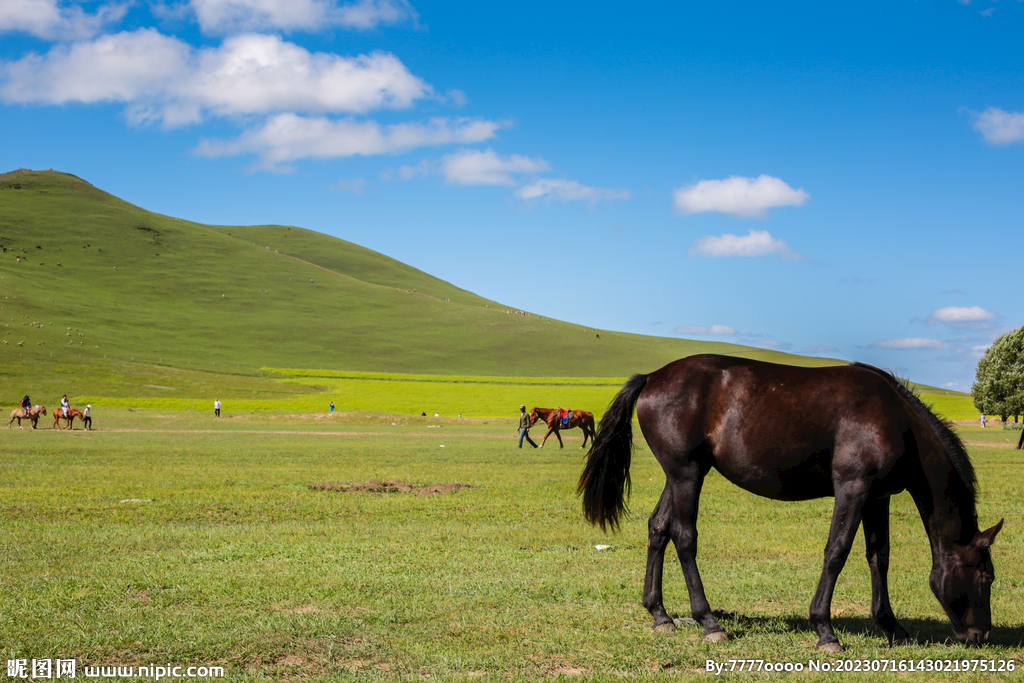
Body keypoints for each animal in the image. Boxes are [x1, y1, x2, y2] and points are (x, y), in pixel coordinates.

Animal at [581, 358, 1003, 651]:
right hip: (687, 475)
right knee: (684, 538)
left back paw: (660, 614)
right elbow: (837, 552)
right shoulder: (853, 488)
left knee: (658, 529)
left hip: (680, 475)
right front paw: (825, 630)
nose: (980, 636)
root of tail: (653, 377)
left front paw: (891, 627)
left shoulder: (877, 497)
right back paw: (709, 622)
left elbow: (878, 557)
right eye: (986, 578)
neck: (896, 418)